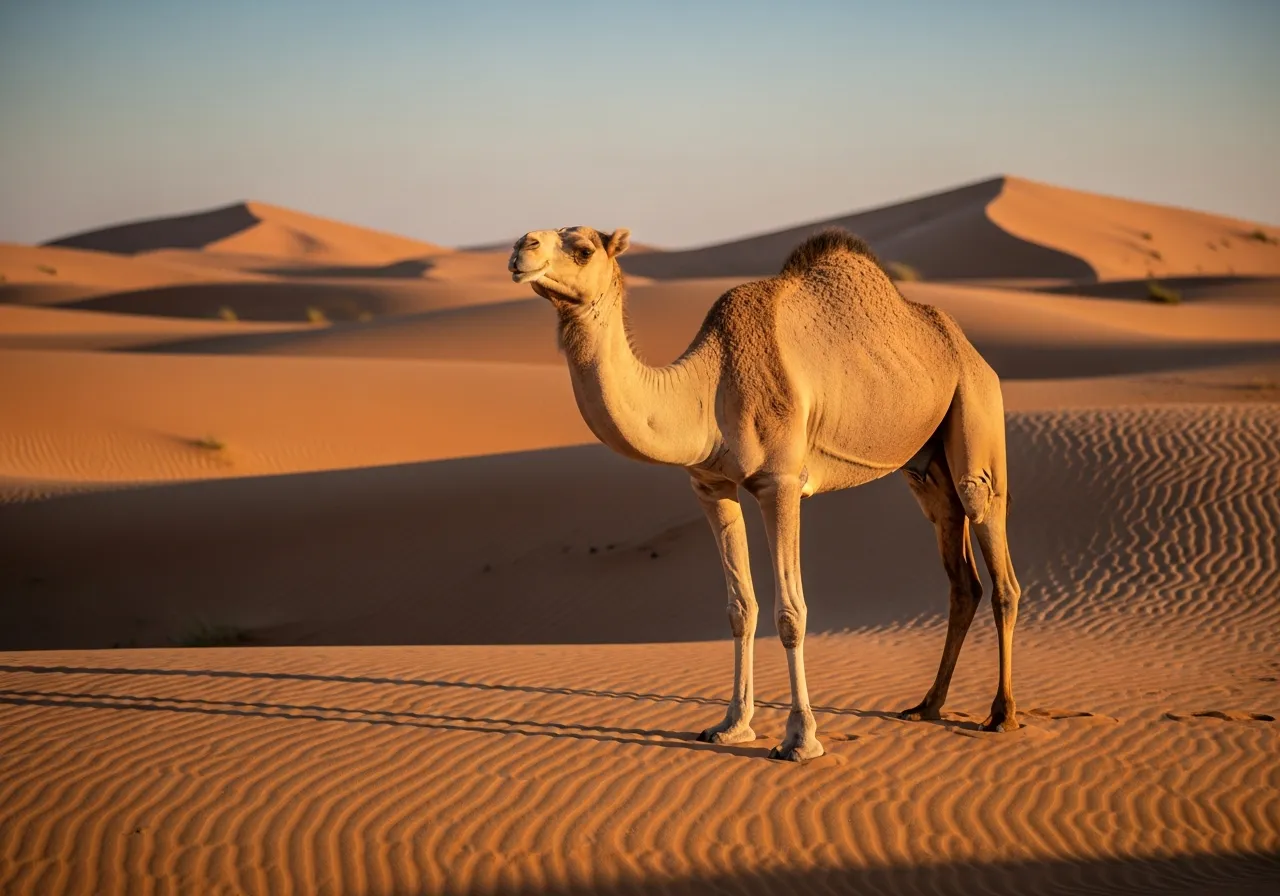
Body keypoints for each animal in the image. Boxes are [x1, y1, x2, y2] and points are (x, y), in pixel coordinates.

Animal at [509, 225, 1022, 760]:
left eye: (583, 248)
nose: (522, 247)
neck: (708, 386)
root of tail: (969, 350)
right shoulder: (711, 485)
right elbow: (741, 608)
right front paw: (732, 725)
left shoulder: (781, 483)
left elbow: (790, 612)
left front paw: (800, 739)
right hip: (925, 466)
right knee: (960, 572)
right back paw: (927, 705)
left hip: (976, 410)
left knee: (996, 555)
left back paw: (1000, 714)